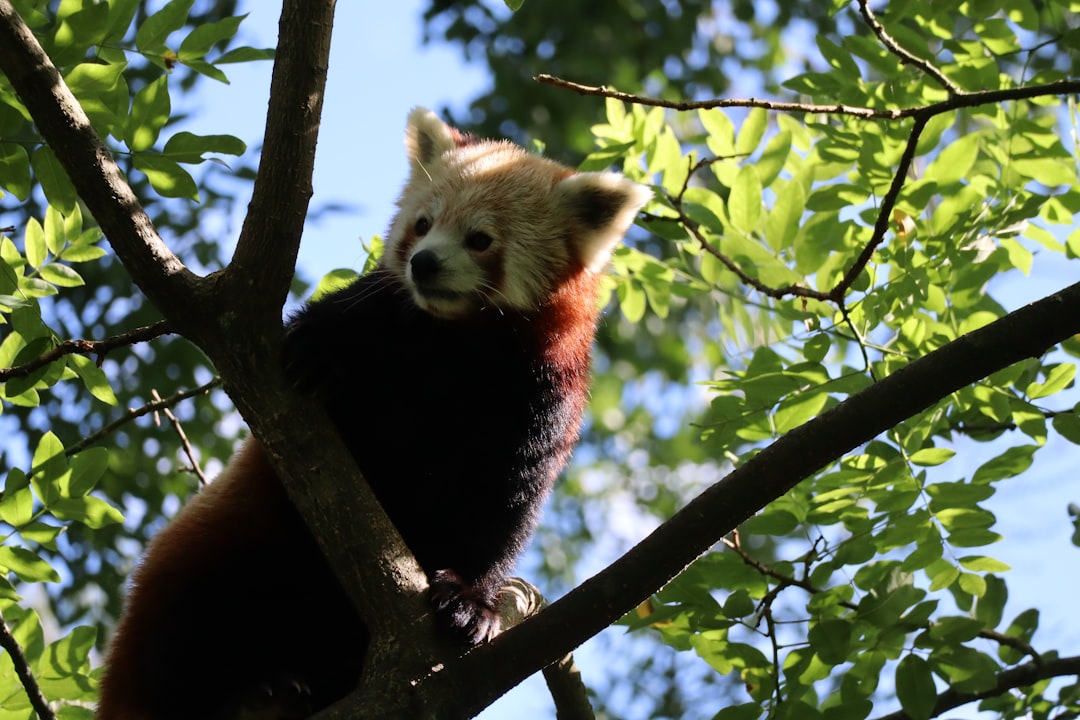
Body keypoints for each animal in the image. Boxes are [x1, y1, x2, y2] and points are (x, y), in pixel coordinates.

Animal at [97, 108, 648, 720]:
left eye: (480, 239)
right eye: (422, 224)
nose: (424, 263)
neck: (462, 345)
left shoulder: (540, 399)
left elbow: (504, 507)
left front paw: (471, 601)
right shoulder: (381, 315)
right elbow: (327, 332)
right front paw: (318, 355)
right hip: (216, 552)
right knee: (189, 628)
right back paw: (243, 689)